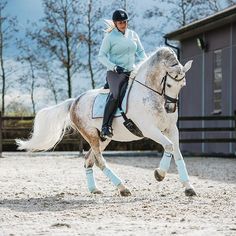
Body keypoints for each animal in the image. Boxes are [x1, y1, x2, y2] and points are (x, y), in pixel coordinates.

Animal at [16, 47, 196, 196]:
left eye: (183, 85)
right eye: (169, 84)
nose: (170, 108)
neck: (152, 94)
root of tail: (74, 101)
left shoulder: (171, 129)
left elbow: (177, 154)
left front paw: (188, 188)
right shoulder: (149, 129)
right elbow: (169, 146)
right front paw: (159, 174)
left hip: (103, 138)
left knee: (89, 160)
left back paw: (94, 189)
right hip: (91, 135)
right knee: (99, 161)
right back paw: (122, 188)